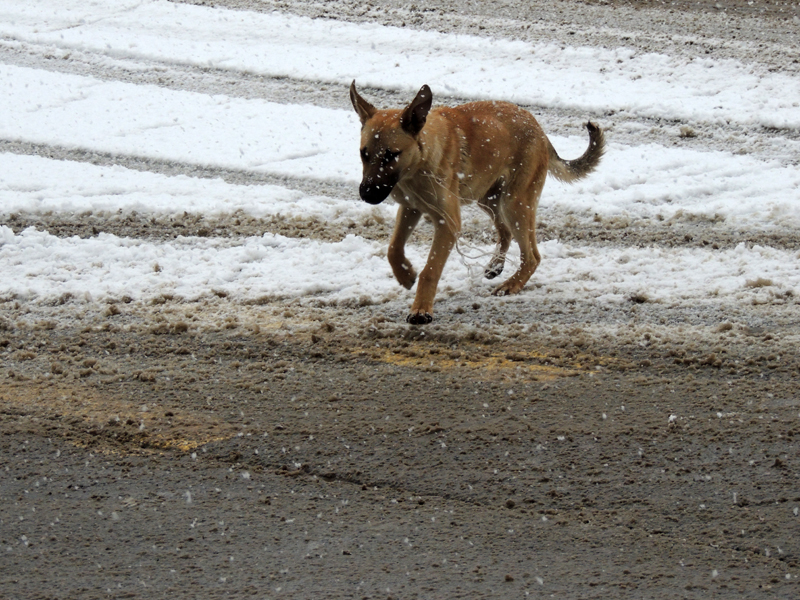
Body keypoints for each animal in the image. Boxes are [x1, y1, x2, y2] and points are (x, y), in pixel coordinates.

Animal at [350, 81, 608, 324]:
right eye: (364, 154)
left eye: (391, 155)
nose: (366, 194)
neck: (418, 163)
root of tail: (540, 130)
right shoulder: (410, 208)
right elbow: (393, 248)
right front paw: (405, 275)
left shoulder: (448, 223)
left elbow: (430, 270)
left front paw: (421, 310)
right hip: (488, 198)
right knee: (505, 233)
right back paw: (496, 265)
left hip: (515, 204)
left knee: (532, 256)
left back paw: (512, 284)